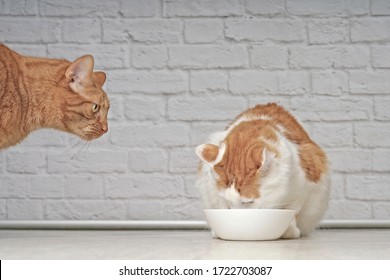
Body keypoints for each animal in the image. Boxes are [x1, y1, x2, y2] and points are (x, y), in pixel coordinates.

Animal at [195, 103, 330, 238]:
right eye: (228, 202)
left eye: (248, 202)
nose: (238, 216)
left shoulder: (305, 186)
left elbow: (294, 210)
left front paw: (289, 230)